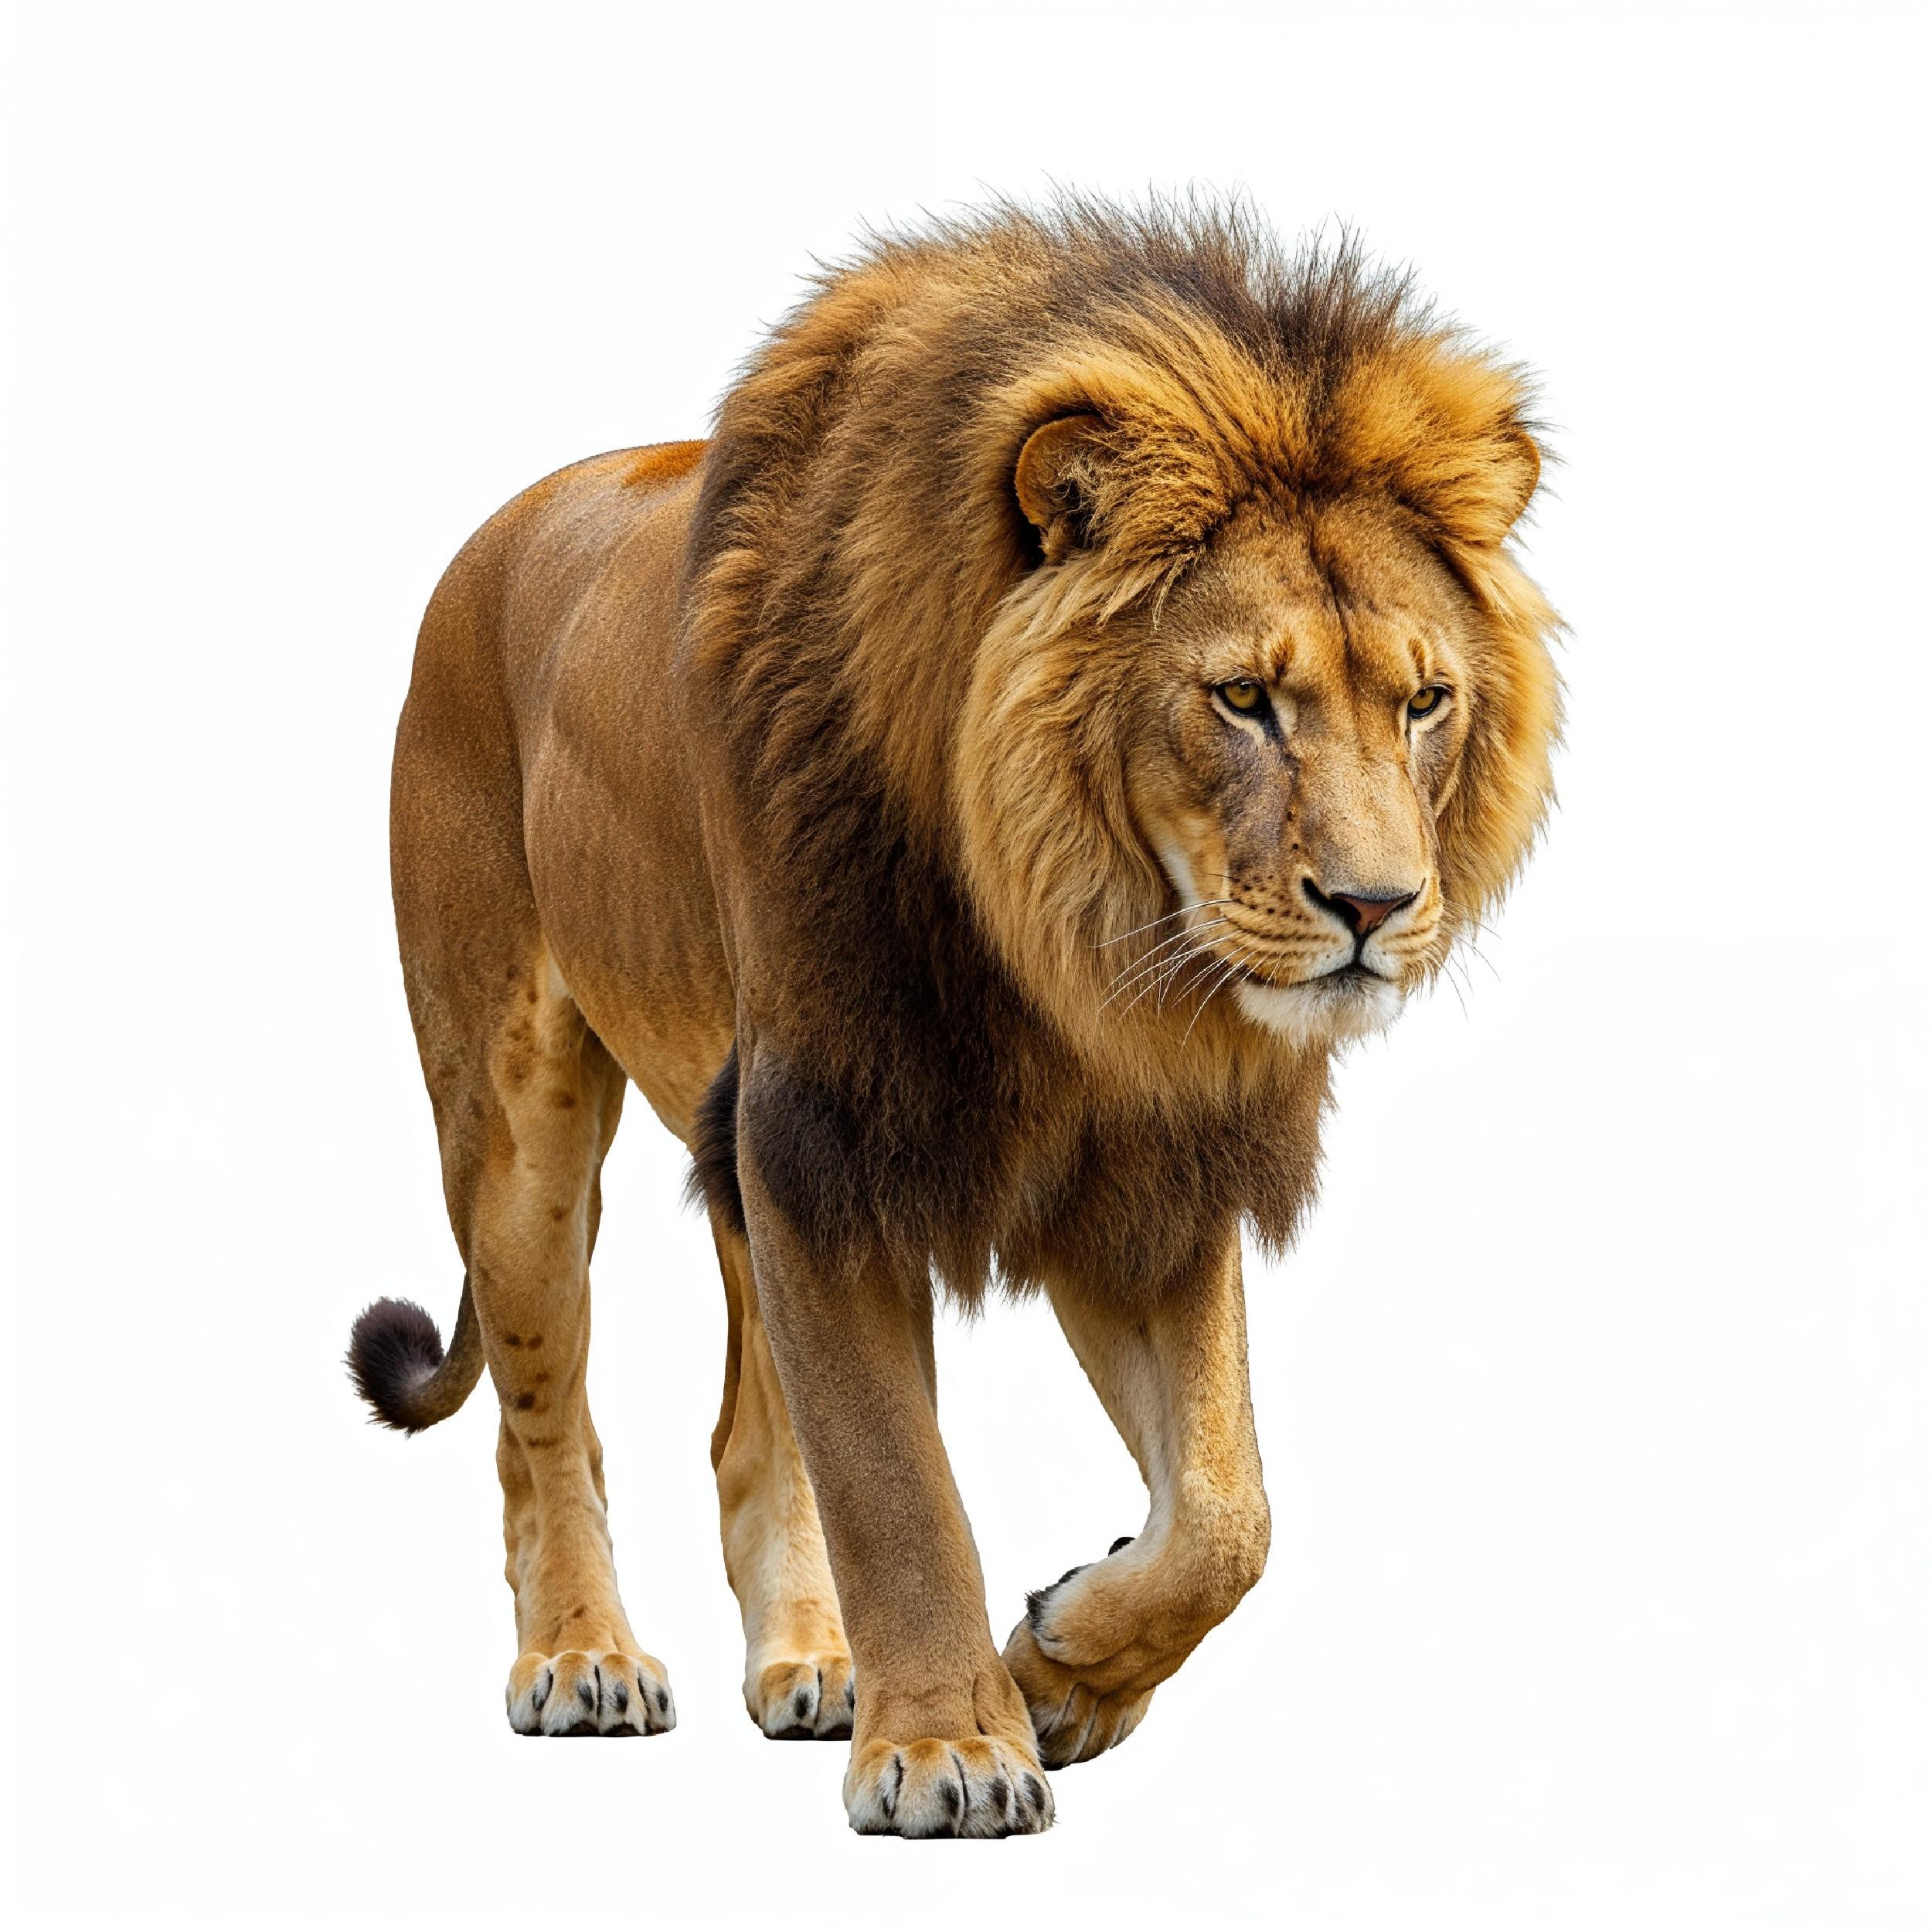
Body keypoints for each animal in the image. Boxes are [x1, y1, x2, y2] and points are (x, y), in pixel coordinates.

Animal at [347, 195, 1561, 1839]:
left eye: (1425, 702)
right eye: (1244, 699)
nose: (1374, 907)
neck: (1075, 954)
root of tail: (501, 526)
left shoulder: (1143, 1171)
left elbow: (1228, 1512)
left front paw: (1060, 1666)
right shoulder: (826, 1132)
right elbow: (897, 1480)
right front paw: (947, 1748)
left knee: (745, 1430)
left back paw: (813, 1662)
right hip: (515, 1125)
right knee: (546, 1421)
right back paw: (583, 1657)